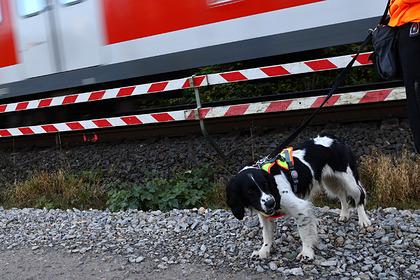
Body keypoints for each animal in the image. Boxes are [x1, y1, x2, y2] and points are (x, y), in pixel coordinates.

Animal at [226, 135, 370, 260]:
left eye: (265, 184)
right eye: (250, 191)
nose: (271, 203)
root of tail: (335, 139)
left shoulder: (300, 208)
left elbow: (304, 233)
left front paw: (306, 253)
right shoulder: (265, 215)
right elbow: (267, 235)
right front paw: (263, 251)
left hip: (349, 180)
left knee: (360, 194)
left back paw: (364, 220)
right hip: (331, 181)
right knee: (341, 194)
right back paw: (344, 214)